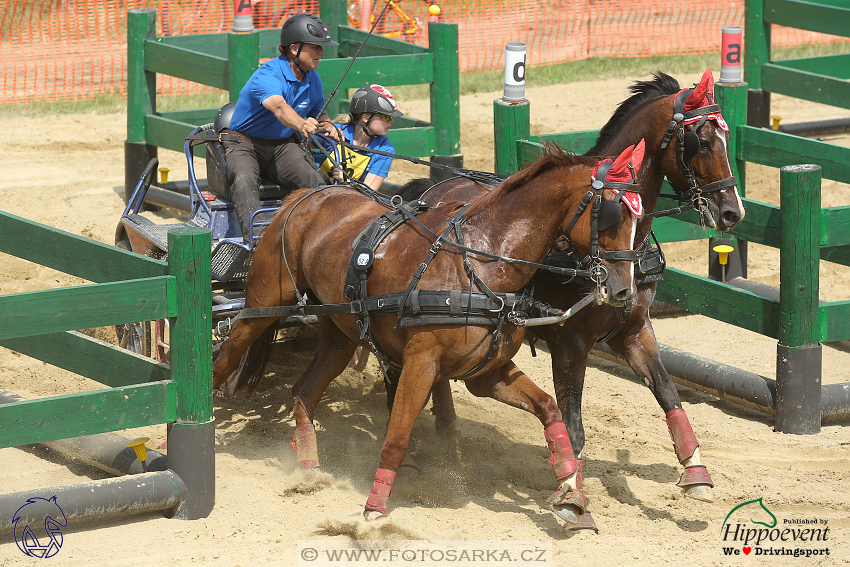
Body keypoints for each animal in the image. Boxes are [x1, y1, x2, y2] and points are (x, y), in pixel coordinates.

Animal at [210, 142, 644, 524]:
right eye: (610, 213)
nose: (625, 290)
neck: (479, 263)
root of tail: (305, 196)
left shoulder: (487, 374)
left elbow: (550, 410)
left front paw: (571, 494)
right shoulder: (421, 364)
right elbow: (397, 437)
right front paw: (374, 509)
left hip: (340, 333)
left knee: (304, 390)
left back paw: (309, 469)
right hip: (263, 305)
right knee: (224, 358)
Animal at [384, 70, 744, 528]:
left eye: (728, 137)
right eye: (702, 140)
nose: (733, 211)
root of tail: (437, 184)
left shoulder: (634, 330)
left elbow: (668, 392)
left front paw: (696, 471)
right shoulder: (570, 343)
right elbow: (573, 426)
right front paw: (570, 492)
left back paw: (447, 434)